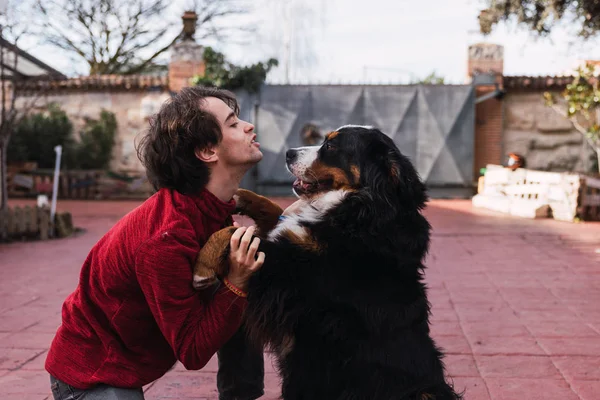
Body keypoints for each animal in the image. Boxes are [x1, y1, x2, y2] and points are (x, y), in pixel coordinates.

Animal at [195, 125, 462, 400]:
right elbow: (274, 213)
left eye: (331, 146)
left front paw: (203, 266)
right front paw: (241, 196)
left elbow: (236, 235)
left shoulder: (288, 273)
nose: (289, 153)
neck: (358, 209)